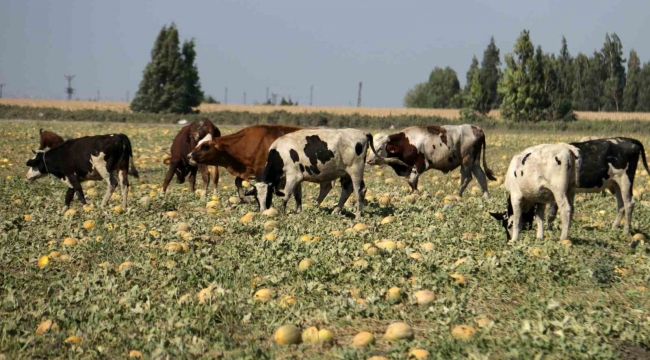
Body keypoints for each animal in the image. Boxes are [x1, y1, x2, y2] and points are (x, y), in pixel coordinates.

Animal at [186, 124, 330, 205]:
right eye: (198, 143)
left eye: (205, 146)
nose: (189, 156)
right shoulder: (248, 169)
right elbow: (238, 182)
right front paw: (245, 198)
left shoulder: (261, 170)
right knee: (325, 188)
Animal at [246, 129, 398, 219]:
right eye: (256, 198)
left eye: (268, 195)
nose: (263, 211)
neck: (280, 153)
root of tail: (363, 133)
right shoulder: (298, 178)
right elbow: (297, 196)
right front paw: (298, 212)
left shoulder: (293, 176)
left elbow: (287, 195)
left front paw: (283, 212)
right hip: (346, 173)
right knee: (347, 190)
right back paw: (336, 211)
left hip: (356, 170)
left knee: (360, 190)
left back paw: (358, 215)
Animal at [364, 124, 496, 198]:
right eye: (372, 146)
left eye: (380, 148)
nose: (368, 160)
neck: (406, 143)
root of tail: (477, 129)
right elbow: (412, 182)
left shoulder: (419, 165)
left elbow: (412, 182)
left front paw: (417, 194)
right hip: (475, 161)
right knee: (481, 176)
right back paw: (487, 198)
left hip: (467, 159)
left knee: (466, 178)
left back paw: (457, 196)